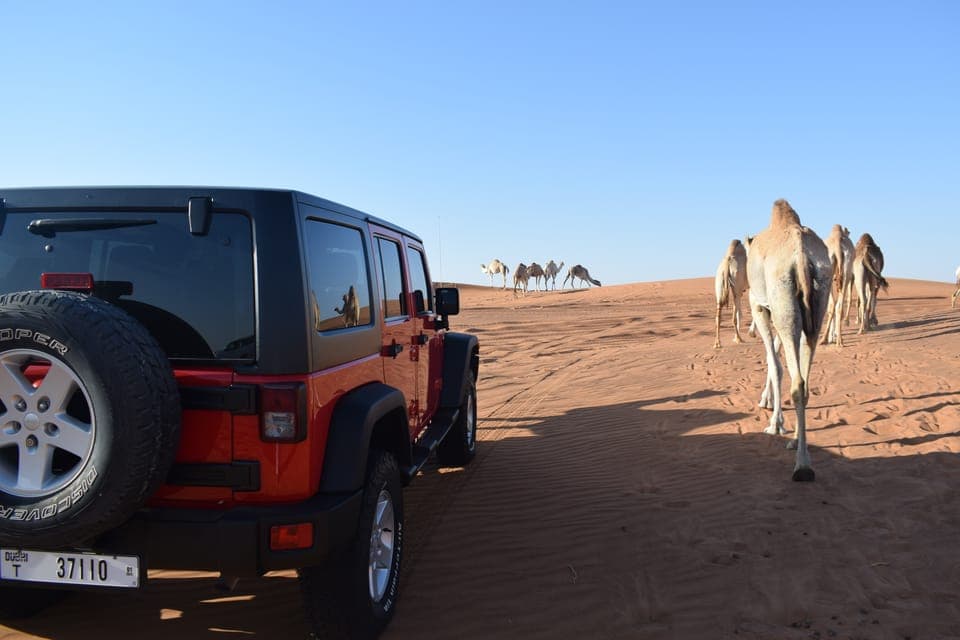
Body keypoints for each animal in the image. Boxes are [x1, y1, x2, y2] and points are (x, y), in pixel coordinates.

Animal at [746, 199, 831, 482]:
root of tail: (802, 257)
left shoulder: (759, 306)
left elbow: (774, 364)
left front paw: (775, 424)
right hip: (815, 304)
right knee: (803, 381)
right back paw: (797, 444)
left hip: (783, 301)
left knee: (797, 381)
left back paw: (802, 466)